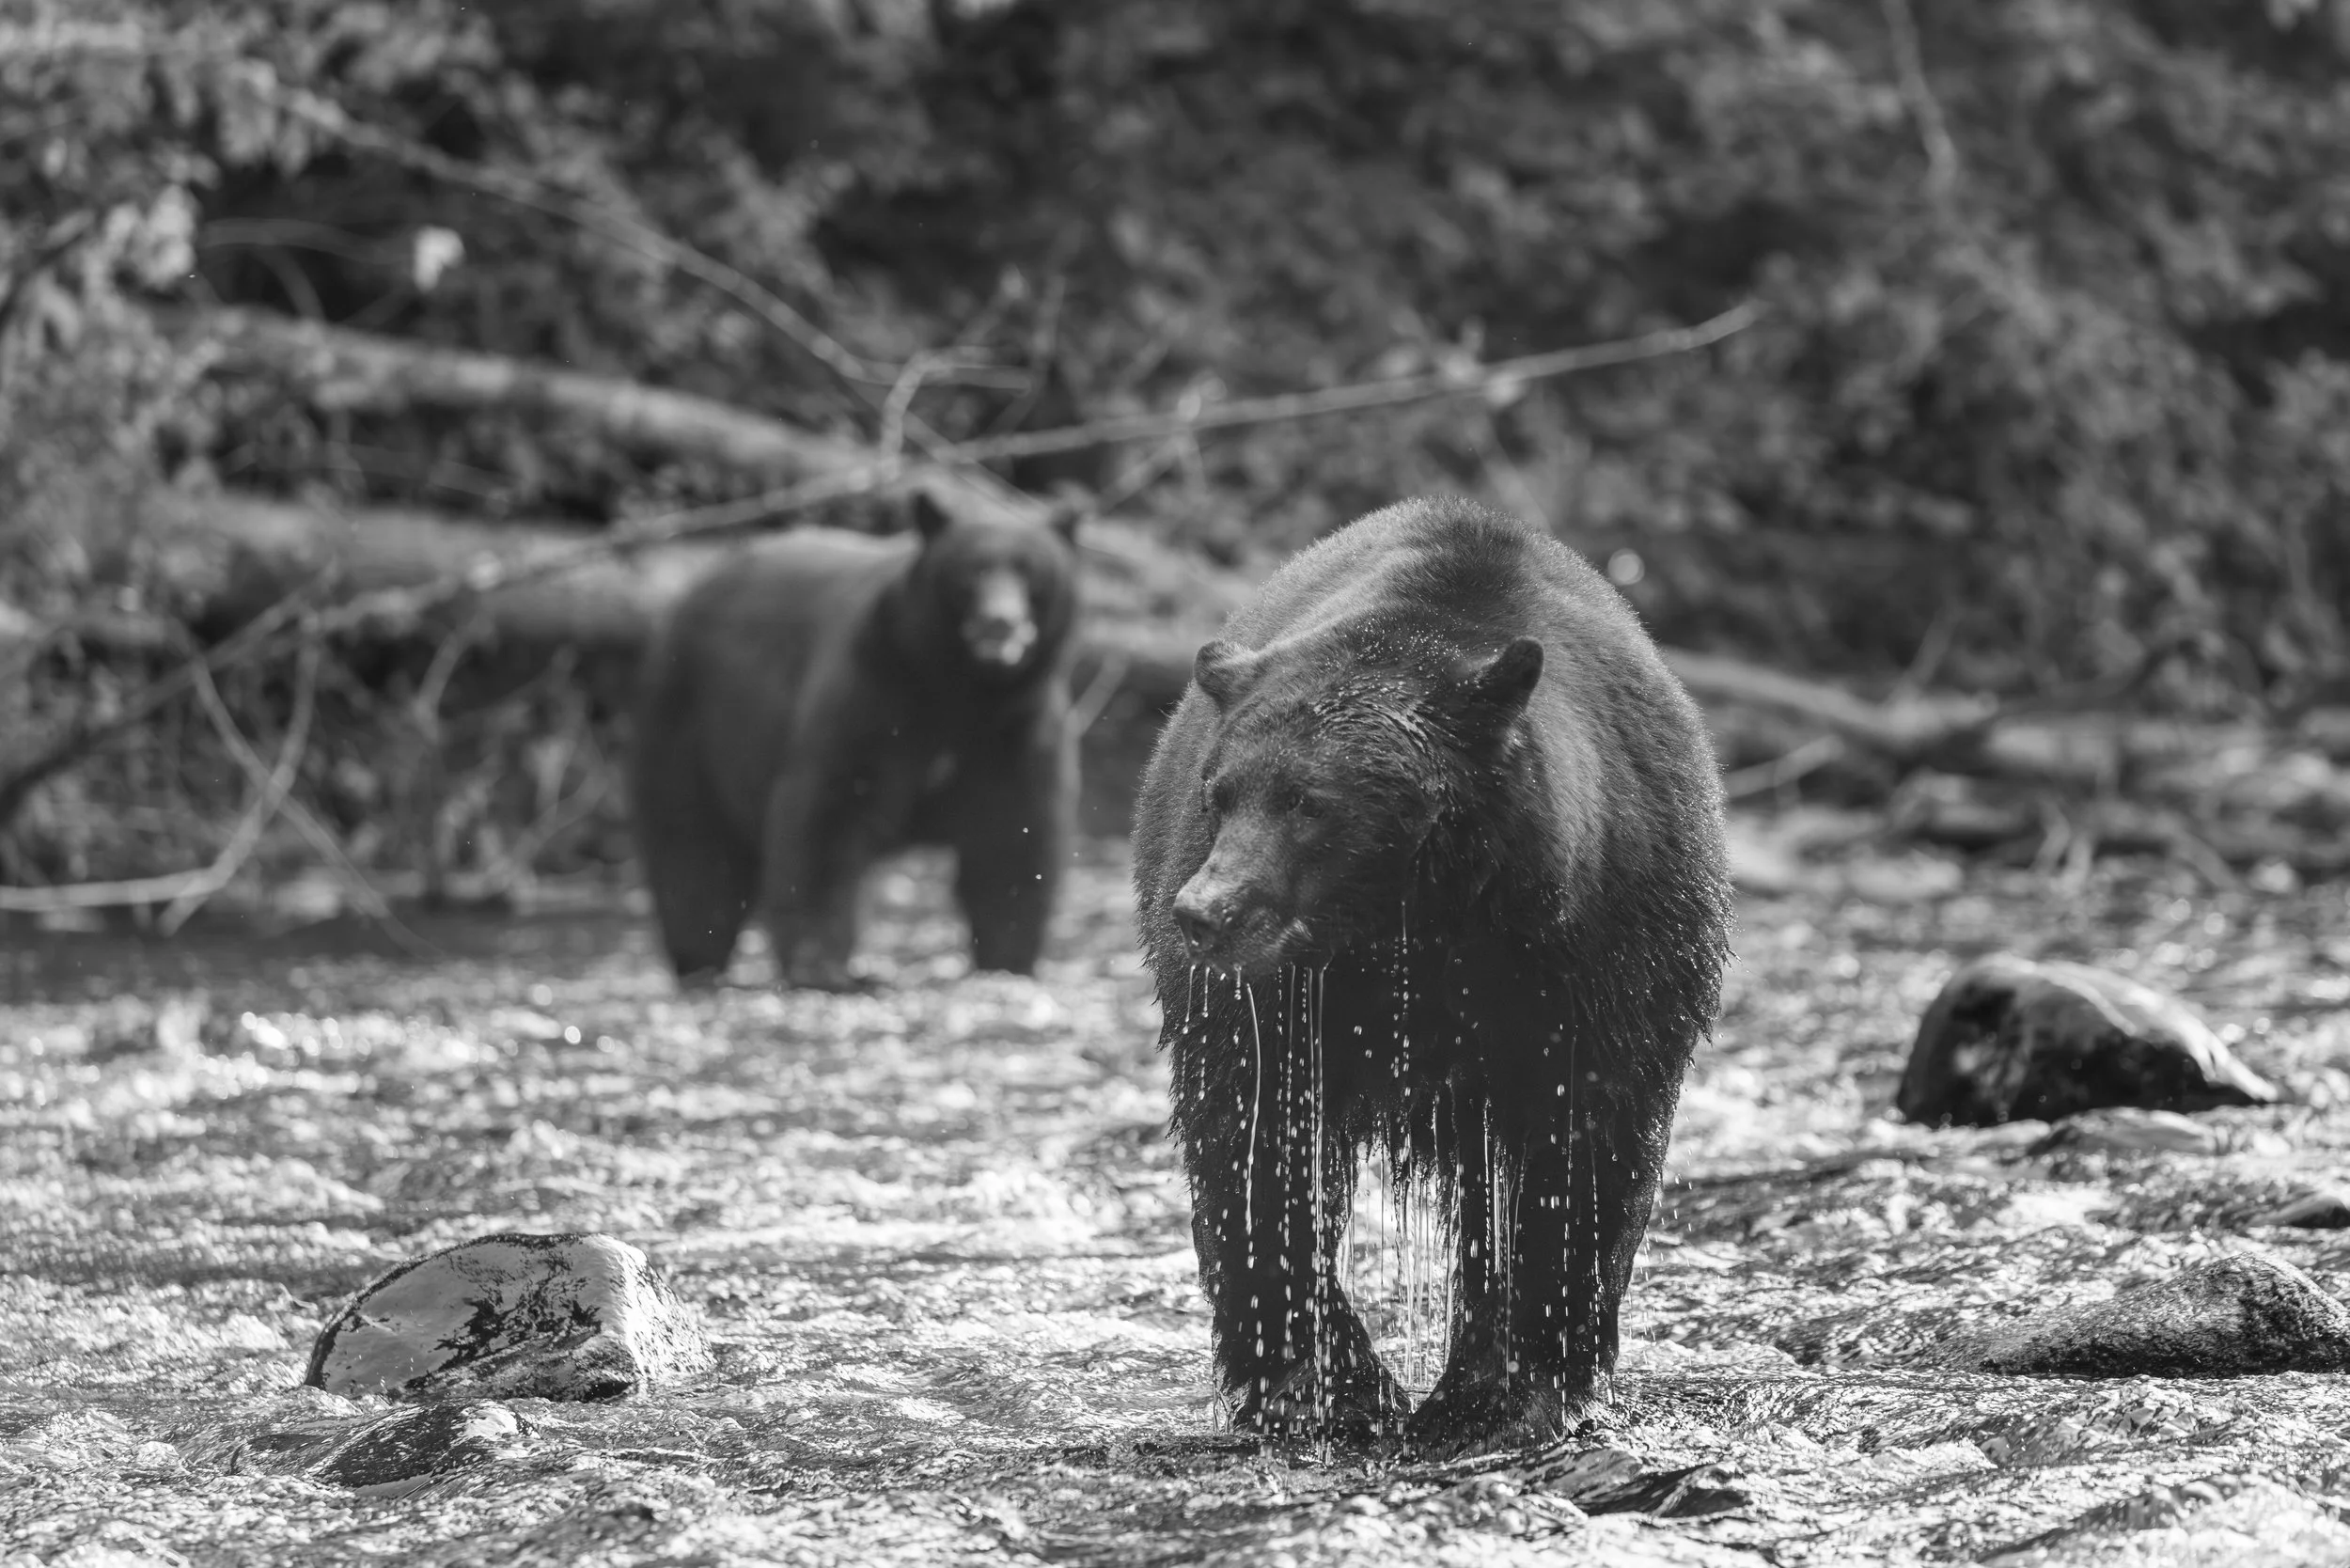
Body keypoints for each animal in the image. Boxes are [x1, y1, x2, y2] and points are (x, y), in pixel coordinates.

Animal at [632, 492, 1080, 990]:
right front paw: (821, 967)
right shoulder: (871, 694)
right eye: (970, 571)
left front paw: (1008, 961)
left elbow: (1011, 833)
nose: (999, 623)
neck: (959, 691)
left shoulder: (1016, 728)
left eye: (1032, 571)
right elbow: (824, 817)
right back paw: (699, 959)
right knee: (691, 845)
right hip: (689, 722)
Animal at [1131, 496, 1731, 1455]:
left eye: (1309, 802)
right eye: (1221, 793)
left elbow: (1587, 1151)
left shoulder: (1606, 953)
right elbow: (1257, 1138)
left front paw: (1510, 1391)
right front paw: (1326, 1389)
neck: (1420, 928)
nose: (1203, 912)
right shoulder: (1279, 1000)